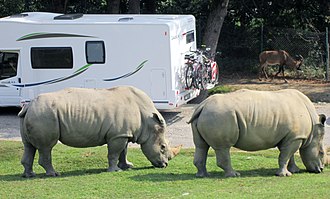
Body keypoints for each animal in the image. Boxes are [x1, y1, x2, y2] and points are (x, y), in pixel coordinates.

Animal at [188, 88, 328, 177]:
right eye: (321, 153)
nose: (321, 169)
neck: (313, 128)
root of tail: (202, 105)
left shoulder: (291, 137)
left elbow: (289, 155)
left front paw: (295, 171)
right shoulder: (295, 137)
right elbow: (285, 155)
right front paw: (285, 175)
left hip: (208, 115)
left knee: (201, 146)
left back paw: (202, 175)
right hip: (220, 116)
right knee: (223, 147)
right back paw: (234, 175)